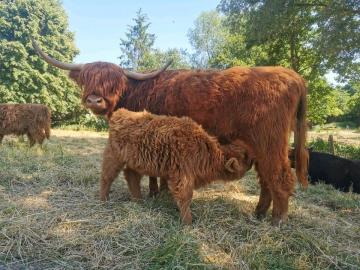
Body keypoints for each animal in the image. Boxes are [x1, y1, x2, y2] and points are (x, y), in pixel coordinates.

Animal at [100, 108, 255, 225]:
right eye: (245, 158)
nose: (253, 160)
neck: (205, 151)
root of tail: (120, 113)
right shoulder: (183, 177)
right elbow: (185, 197)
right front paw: (188, 222)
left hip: (136, 162)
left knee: (131, 176)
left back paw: (138, 200)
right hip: (114, 157)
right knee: (107, 177)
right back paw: (104, 199)